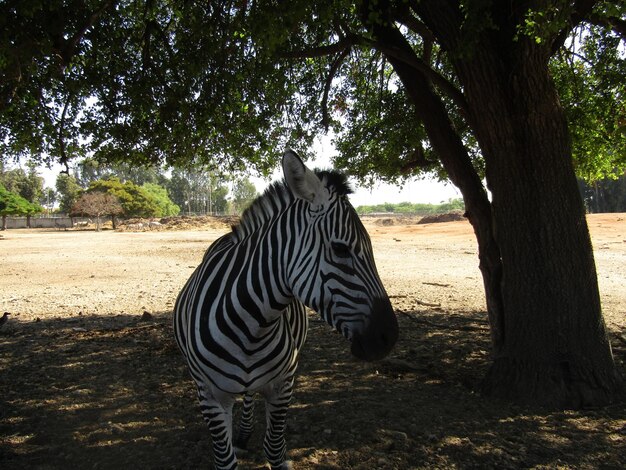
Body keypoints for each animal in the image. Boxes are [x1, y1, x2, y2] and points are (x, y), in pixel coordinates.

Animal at [172, 151, 394, 470]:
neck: (252, 327)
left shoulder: (283, 385)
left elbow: (275, 448)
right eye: (340, 249)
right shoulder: (210, 395)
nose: (390, 337)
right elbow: (224, 458)